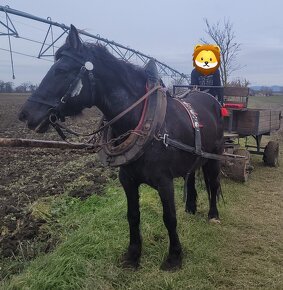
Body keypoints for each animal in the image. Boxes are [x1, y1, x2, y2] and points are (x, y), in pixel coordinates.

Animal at [18, 25, 225, 272]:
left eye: (61, 70)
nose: (25, 114)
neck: (144, 123)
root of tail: (210, 98)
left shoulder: (164, 182)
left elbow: (169, 217)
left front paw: (174, 257)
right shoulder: (127, 179)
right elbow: (132, 215)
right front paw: (133, 255)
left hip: (214, 156)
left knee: (213, 183)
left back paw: (213, 215)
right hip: (193, 156)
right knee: (191, 174)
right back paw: (191, 206)